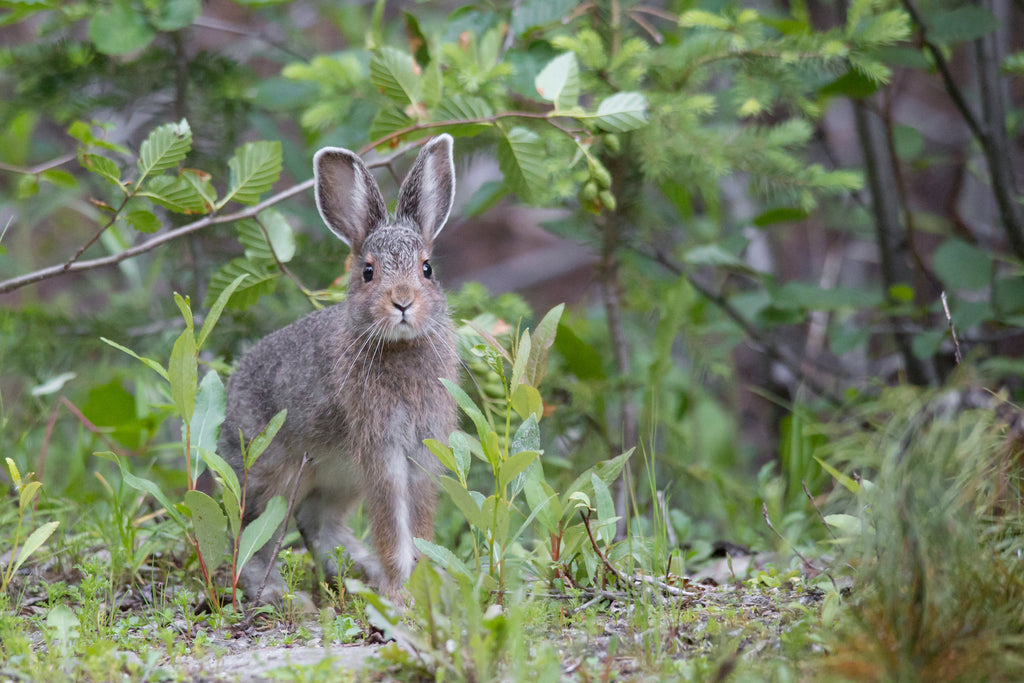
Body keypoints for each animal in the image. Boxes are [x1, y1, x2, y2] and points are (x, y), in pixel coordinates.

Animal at [219, 134, 459, 604]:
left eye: (427, 269)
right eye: (367, 272)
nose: (403, 301)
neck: (399, 347)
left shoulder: (422, 451)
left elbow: (418, 521)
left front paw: (423, 584)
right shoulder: (381, 450)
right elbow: (392, 523)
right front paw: (401, 589)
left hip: (336, 480)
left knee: (318, 525)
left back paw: (360, 574)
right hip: (274, 478)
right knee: (250, 534)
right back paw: (281, 594)